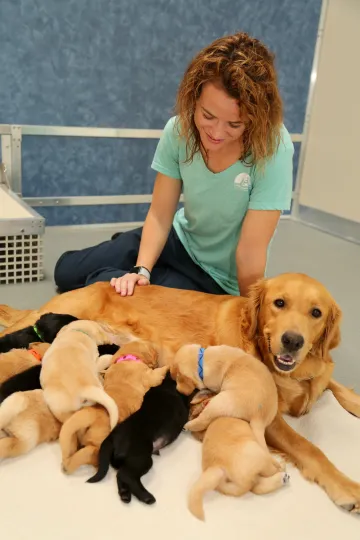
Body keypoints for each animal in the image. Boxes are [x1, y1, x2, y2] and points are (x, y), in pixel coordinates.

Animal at [60, 342, 169, 472]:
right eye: (153, 350)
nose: (157, 352)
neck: (127, 358)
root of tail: (92, 413)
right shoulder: (148, 376)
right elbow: (157, 373)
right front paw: (167, 366)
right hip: (98, 442)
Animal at [87, 374, 190, 504]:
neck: (165, 387)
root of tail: (111, 437)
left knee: (121, 475)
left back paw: (125, 494)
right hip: (141, 458)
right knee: (125, 475)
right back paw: (146, 496)